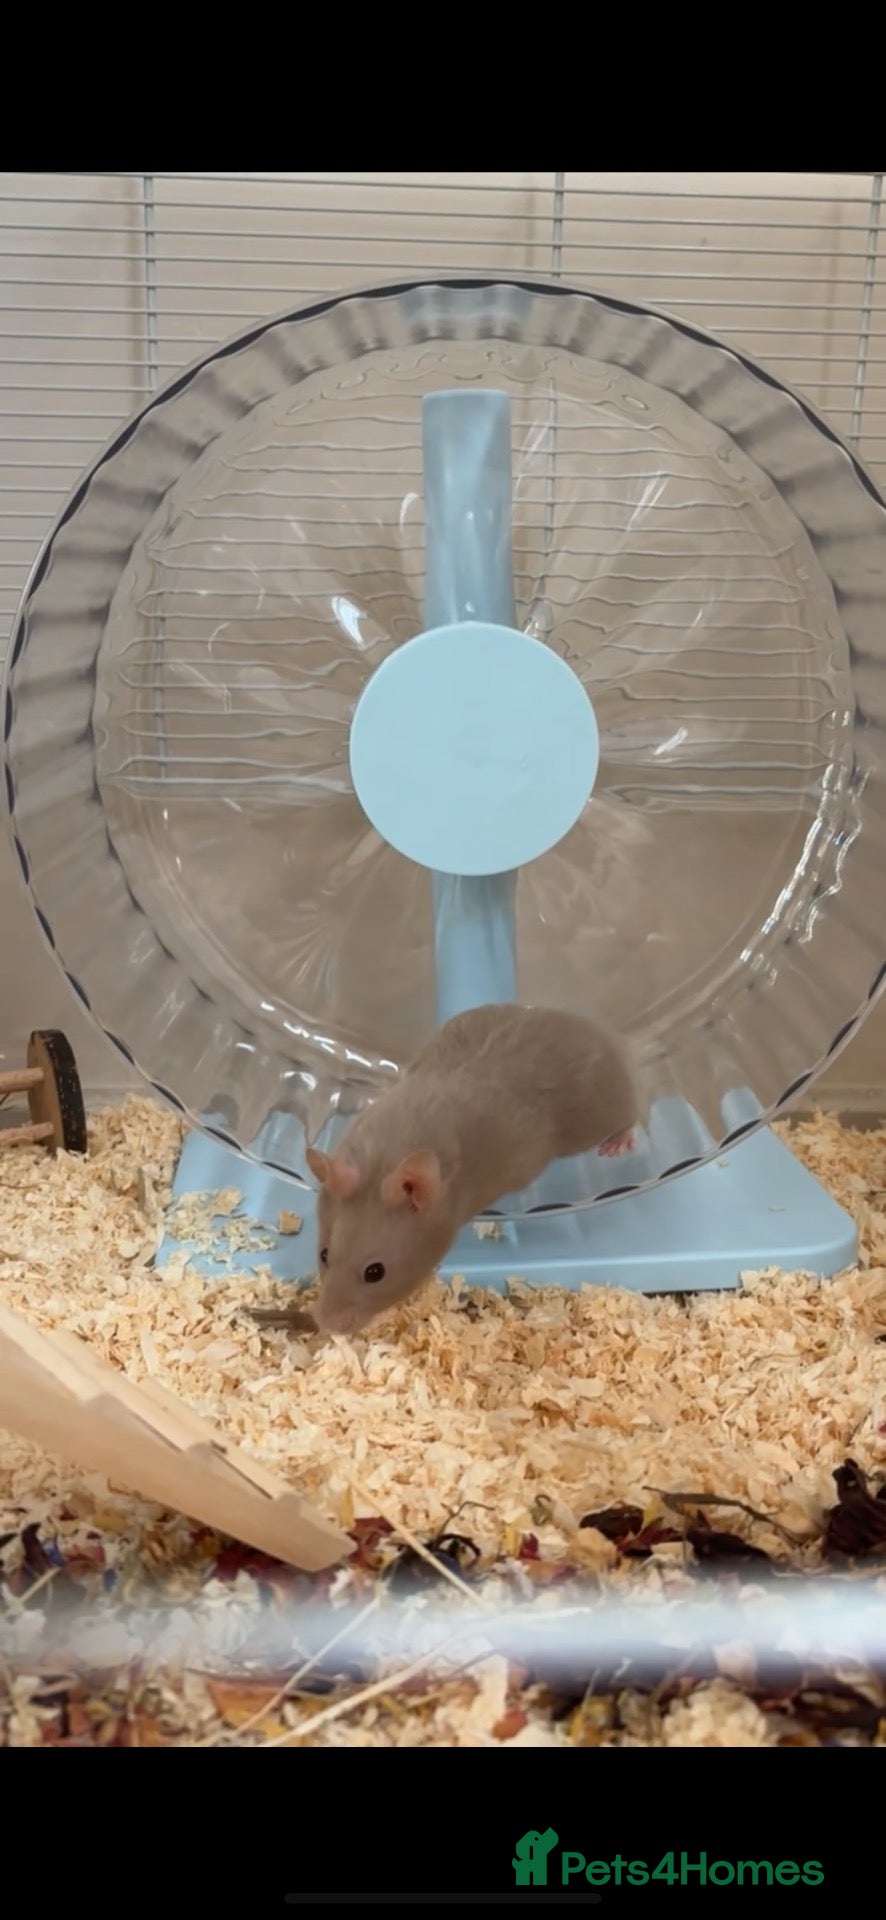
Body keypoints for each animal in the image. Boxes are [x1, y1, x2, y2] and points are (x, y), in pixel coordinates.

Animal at [255, 1002, 637, 1342]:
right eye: (323, 1255)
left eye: (375, 1272)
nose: (328, 1326)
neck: (386, 1157)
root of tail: (603, 1033)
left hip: (602, 1110)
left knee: (632, 1111)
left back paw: (619, 1145)